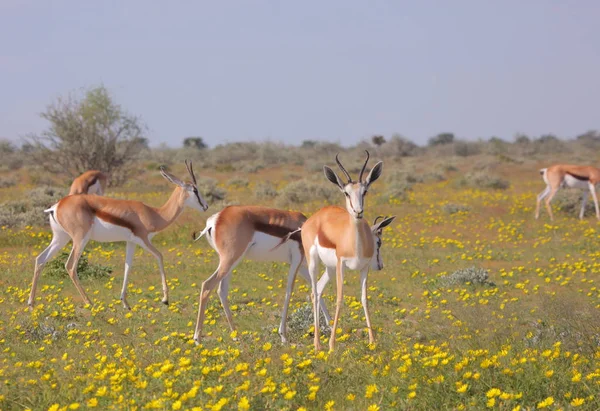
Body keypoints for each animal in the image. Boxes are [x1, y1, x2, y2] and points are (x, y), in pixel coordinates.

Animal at [29, 163, 210, 310]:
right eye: (195, 190)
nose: (206, 206)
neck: (154, 214)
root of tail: (56, 206)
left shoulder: (131, 242)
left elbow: (127, 267)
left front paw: (125, 303)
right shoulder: (144, 240)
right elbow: (160, 256)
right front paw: (165, 299)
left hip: (61, 238)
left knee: (40, 259)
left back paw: (31, 303)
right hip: (80, 239)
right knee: (70, 266)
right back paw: (89, 302)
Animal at [191, 205, 332, 344]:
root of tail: (217, 218)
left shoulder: (302, 266)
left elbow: (316, 290)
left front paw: (331, 325)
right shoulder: (297, 260)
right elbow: (289, 291)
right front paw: (283, 336)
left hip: (229, 263)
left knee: (222, 291)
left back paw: (236, 335)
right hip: (230, 260)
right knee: (207, 285)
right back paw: (197, 338)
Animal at [302, 151, 386, 350]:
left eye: (365, 191)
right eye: (346, 193)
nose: (358, 211)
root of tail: (316, 217)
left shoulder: (364, 268)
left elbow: (364, 298)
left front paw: (372, 340)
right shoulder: (341, 264)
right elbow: (340, 298)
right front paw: (332, 345)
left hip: (330, 269)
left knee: (318, 290)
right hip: (314, 263)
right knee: (314, 293)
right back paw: (318, 344)